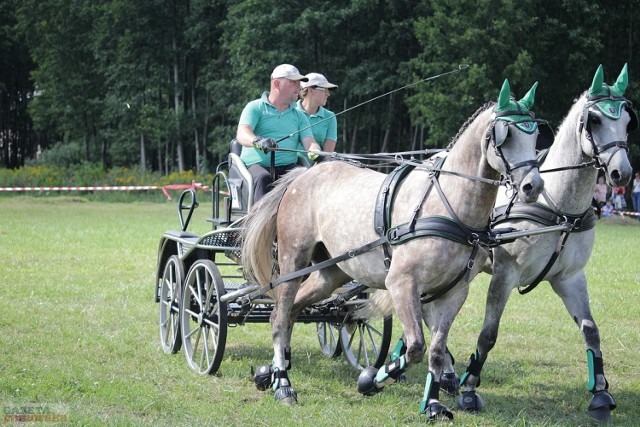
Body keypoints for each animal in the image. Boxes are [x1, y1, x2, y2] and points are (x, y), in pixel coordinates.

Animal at [240, 79, 544, 422]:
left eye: (535, 134)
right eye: (506, 135)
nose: (533, 186)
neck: (448, 207)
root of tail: (301, 176)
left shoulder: (453, 293)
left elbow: (436, 350)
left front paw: (434, 404)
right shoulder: (401, 284)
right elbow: (415, 347)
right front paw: (370, 380)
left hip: (330, 272)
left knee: (292, 310)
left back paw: (271, 372)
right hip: (293, 260)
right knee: (279, 315)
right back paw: (284, 385)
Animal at [456, 63, 636, 422]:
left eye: (627, 120)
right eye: (595, 121)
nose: (621, 173)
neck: (557, 207)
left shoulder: (570, 278)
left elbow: (590, 329)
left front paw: (600, 393)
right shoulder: (504, 275)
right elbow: (488, 334)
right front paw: (468, 390)